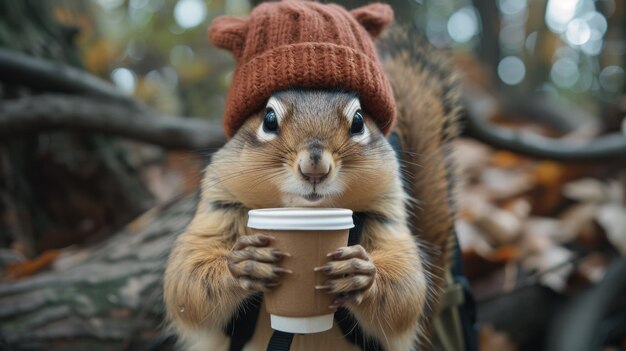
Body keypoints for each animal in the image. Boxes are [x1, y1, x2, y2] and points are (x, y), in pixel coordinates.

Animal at [163, 1, 460, 350]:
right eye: (268, 119)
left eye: (359, 121)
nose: (314, 168)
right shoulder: (218, 209)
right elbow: (187, 279)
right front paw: (244, 263)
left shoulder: (387, 216)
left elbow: (405, 288)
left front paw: (359, 273)